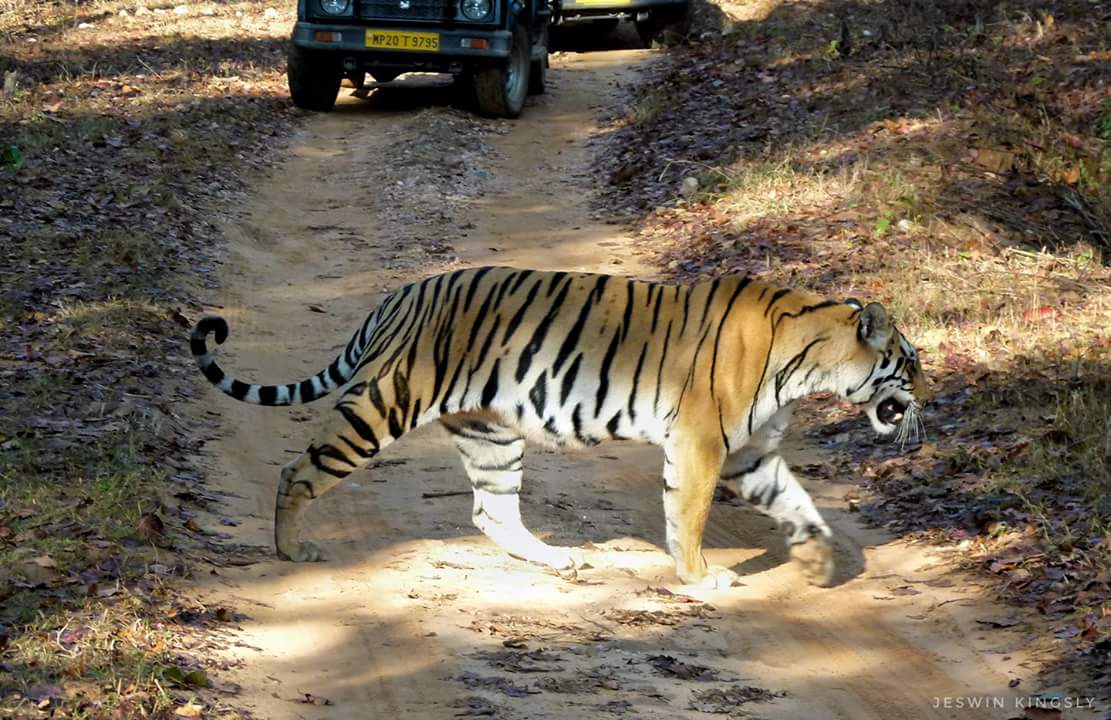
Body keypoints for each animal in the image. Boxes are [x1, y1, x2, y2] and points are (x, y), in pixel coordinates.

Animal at [191, 266, 929, 589]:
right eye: (911, 362)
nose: (928, 395)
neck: (809, 364)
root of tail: (400, 294)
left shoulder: (752, 453)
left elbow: (801, 507)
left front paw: (821, 561)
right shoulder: (701, 444)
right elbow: (688, 515)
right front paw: (699, 577)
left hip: (491, 434)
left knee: (491, 514)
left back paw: (557, 559)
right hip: (385, 405)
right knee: (299, 468)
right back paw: (291, 550)